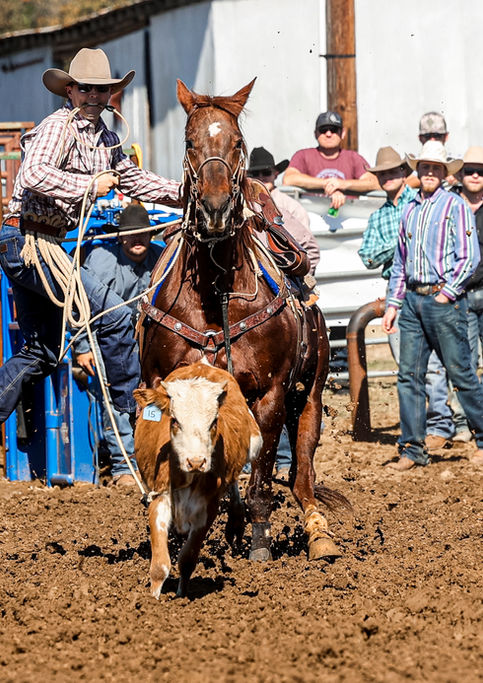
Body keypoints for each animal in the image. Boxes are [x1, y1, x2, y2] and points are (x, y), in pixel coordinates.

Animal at [133, 361, 262, 599]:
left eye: (213, 422)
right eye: (174, 421)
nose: (196, 461)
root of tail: (202, 364)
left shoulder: (207, 510)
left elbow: (187, 559)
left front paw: (181, 596)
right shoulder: (159, 498)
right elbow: (160, 565)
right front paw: (153, 599)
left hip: (255, 444)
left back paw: (236, 519)